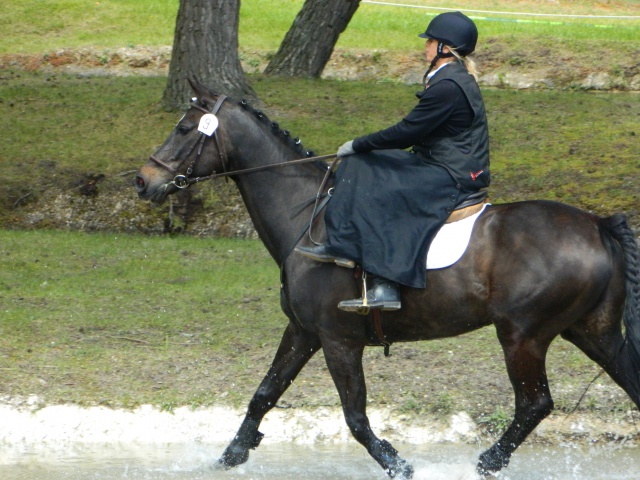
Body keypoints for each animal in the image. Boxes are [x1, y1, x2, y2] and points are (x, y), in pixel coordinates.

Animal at [134, 79, 640, 480]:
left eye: (184, 129)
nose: (143, 181)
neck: (307, 217)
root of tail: (597, 224)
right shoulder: (303, 331)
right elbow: (264, 393)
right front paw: (230, 456)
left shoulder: (338, 339)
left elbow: (355, 416)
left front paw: (400, 464)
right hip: (590, 331)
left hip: (523, 336)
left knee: (534, 404)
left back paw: (485, 463)